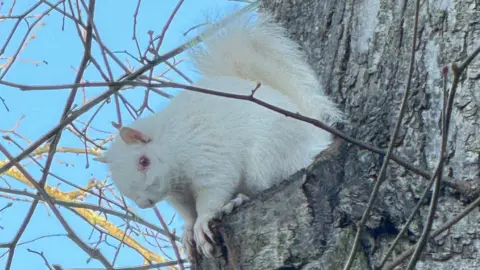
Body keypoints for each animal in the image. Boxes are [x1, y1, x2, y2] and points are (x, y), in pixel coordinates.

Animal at [95, 11, 342, 262]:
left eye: (144, 161)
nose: (144, 203)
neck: (171, 147)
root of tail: (315, 142)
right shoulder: (178, 194)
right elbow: (188, 213)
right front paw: (188, 230)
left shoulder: (209, 157)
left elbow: (214, 191)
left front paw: (202, 223)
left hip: (269, 156)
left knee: (267, 182)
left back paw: (237, 200)